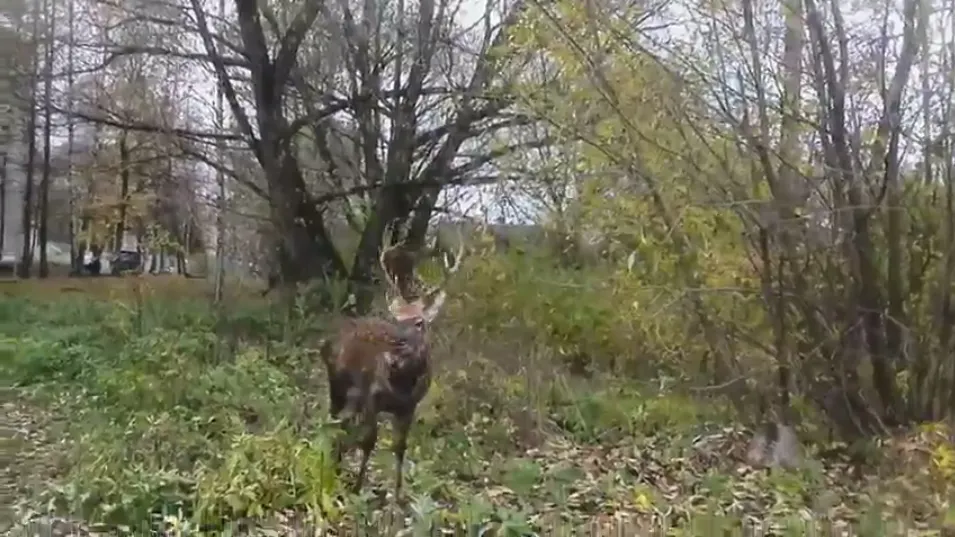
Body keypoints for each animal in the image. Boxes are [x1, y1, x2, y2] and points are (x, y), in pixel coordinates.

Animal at [318, 229, 465, 498]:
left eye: (419, 322)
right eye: (396, 320)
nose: (395, 349)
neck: (402, 384)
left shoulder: (409, 406)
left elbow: (400, 446)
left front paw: (398, 493)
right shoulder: (371, 397)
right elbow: (369, 441)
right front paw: (358, 487)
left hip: (353, 397)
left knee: (343, 425)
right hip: (338, 384)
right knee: (333, 421)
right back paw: (331, 464)